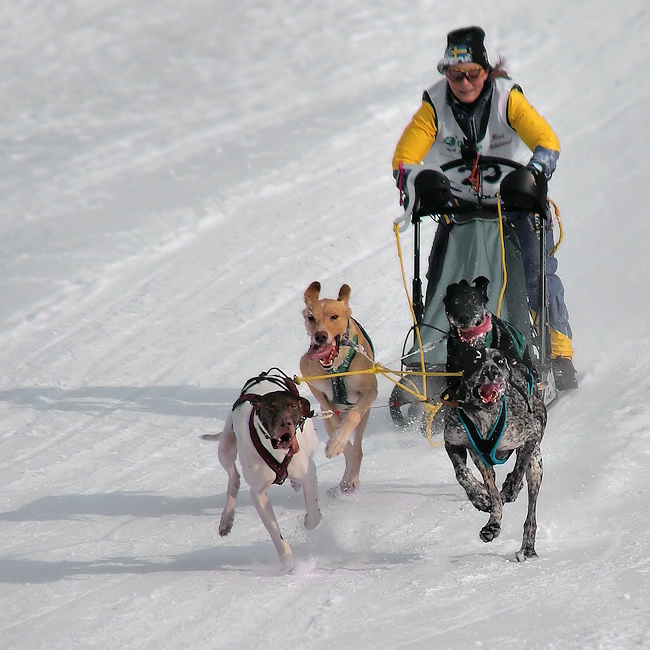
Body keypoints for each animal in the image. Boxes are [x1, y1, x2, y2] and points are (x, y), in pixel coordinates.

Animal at [211, 370, 320, 568]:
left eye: (293, 406)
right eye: (270, 408)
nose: (285, 423)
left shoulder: (309, 476)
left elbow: (313, 516)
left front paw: (310, 519)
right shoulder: (258, 493)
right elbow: (274, 532)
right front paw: (287, 561)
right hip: (225, 447)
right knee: (234, 478)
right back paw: (226, 519)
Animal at [298, 280, 374, 494]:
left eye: (334, 316)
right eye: (311, 317)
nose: (320, 336)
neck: (336, 368)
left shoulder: (369, 391)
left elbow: (351, 420)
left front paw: (337, 442)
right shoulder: (317, 390)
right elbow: (336, 424)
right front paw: (336, 444)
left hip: (365, 416)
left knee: (357, 446)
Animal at [442, 346, 544, 560]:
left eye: (499, 361)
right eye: (476, 359)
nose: (491, 371)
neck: (484, 416)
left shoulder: (532, 433)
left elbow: (518, 470)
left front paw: (511, 488)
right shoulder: (457, 444)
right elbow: (464, 475)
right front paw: (480, 498)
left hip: (536, 466)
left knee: (531, 512)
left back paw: (527, 547)